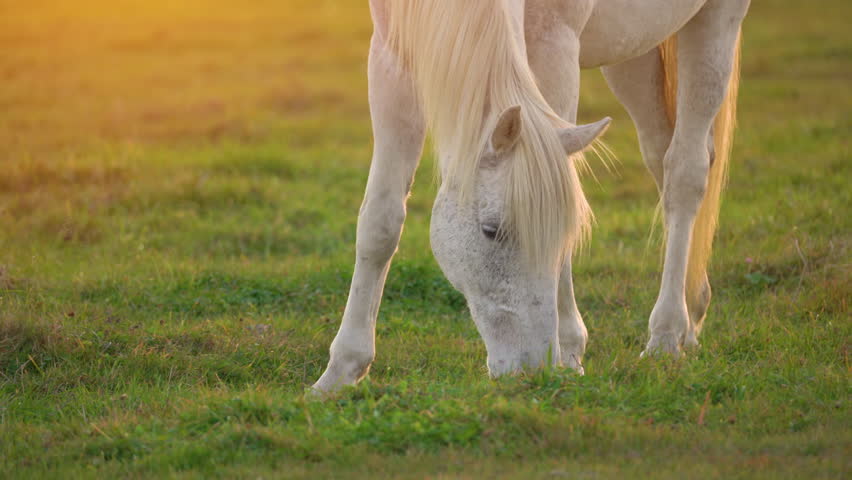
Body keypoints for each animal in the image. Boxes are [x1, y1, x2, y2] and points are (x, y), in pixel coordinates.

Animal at [313, 0, 749, 393]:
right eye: (491, 231)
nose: (532, 370)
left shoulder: (555, 43)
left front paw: (570, 350)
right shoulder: (392, 58)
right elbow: (381, 221)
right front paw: (340, 372)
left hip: (715, 19)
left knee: (685, 172)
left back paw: (667, 335)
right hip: (635, 48)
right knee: (661, 154)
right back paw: (692, 313)